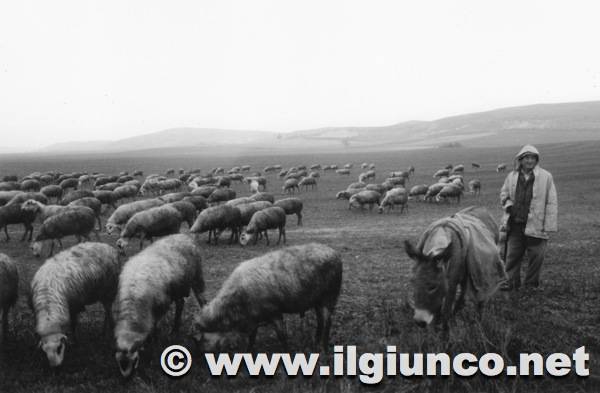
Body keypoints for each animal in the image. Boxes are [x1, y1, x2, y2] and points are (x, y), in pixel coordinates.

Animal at [113, 233, 205, 376]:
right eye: (119, 364)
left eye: (135, 361)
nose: (127, 379)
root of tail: (184, 235)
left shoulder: (161, 306)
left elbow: (154, 326)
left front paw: (153, 340)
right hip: (177, 288)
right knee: (180, 304)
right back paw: (174, 329)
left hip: (197, 277)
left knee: (202, 300)